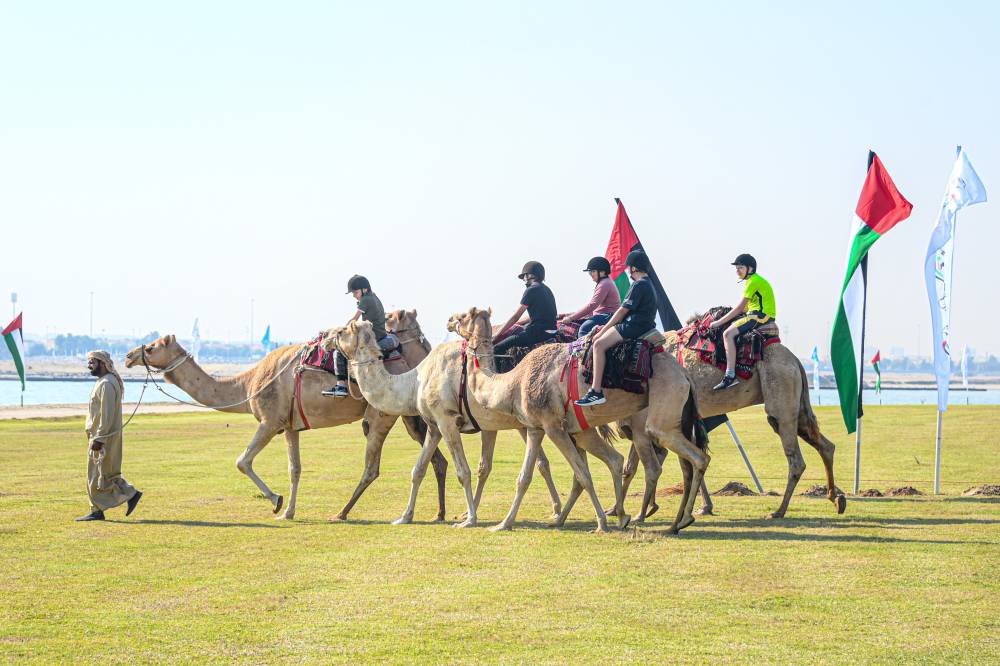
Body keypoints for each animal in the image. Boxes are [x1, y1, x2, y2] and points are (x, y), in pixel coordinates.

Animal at [123, 331, 449, 521]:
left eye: (151, 347)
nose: (127, 356)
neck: (247, 383)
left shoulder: (270, 421)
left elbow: (242, 461)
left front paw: (276, 501)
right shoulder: (290, 427)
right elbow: (295, 469)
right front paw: (289, 512)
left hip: (380, 415)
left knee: (372, 467)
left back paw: (342, 512)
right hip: (408, 416)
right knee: (436, 459)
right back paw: (439, 513)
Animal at [323, 312, 563, 527]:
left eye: (342, 331)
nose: (324, 336)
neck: (414, 382)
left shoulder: (446, 421)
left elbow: (463, 472)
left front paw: (470, 519)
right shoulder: (433, 426)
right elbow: (418, 469)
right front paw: (405, 517)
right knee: (541, 462)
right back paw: (556, 511)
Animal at [454, 307, 710, 534]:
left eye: (463, 316)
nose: (449, 320)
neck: (514, 382)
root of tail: (685, 374)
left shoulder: (553, 426)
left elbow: (583, 475)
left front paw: (601, 523)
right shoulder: (536, 428)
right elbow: (524, 478)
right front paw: (504, 524)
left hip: (661, 412)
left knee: (693, 458)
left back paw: (679, 518)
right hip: (675, 417)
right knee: (673, 464)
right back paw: (664, 521)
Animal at [618, 306, 848, 519]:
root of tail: (796, 361)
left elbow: (654, 462)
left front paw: (638, 511)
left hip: (781, 385)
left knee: (795, 456)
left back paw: (779, 511)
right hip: (795, 399)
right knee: (824, 444)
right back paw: (836, 498)